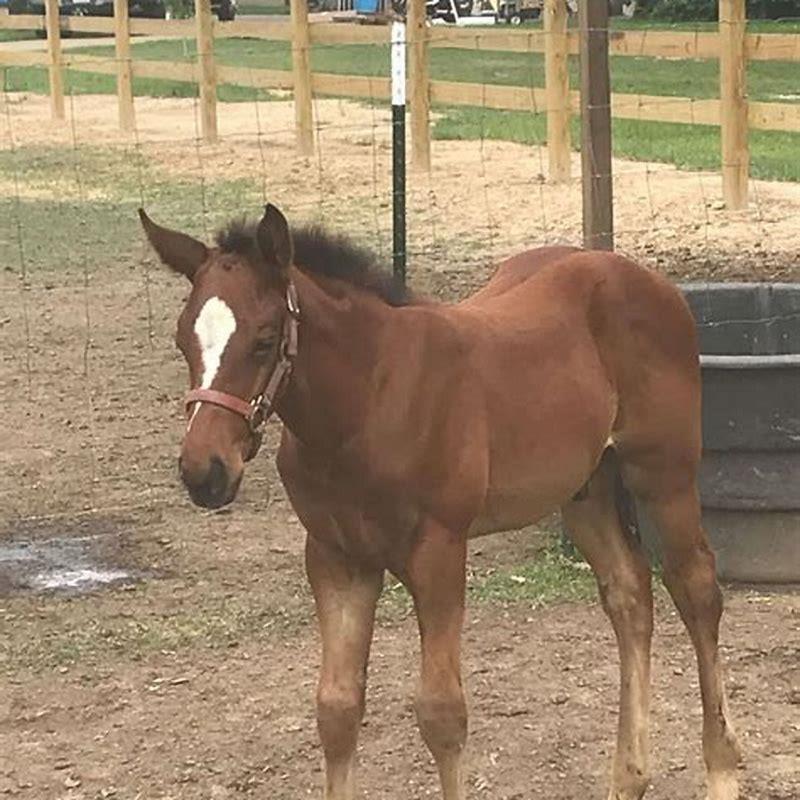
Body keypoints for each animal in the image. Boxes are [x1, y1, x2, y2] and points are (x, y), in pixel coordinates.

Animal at [139, 203, 741, 800]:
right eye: (181, 340)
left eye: (264, 340)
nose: (204, 472)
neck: (368, 401)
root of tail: (646, 278)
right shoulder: (336, 557)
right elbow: (336, 708)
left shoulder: (439, 551)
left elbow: (442, 713)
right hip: (585, 488)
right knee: (629, 592)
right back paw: (629, 776)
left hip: (664, 475)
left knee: (697, 590)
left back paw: (722, 769)